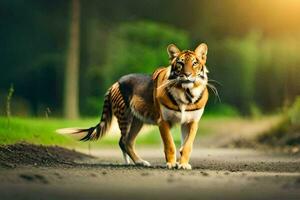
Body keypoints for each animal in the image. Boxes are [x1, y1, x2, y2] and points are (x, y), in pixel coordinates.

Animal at [57, 43, 210, 170]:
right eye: (180, 63)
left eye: (195, 63)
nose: (187, 75)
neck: (186, 93)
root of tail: (115, 83)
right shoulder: (163, 121)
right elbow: (170, 144)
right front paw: (171, 164)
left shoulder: (191, 122)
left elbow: (187, 145)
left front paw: (183, 164)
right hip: (125, 117)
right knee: (123, 141)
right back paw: (135, 162)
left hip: (138, 120)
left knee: (128, 141)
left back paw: (139, 162)